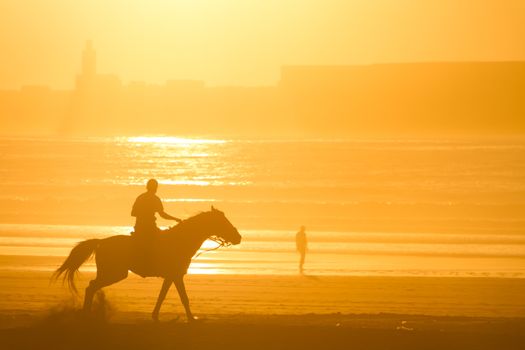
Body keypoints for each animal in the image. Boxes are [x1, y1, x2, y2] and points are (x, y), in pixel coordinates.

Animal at [53, 205, 242, 322]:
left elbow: (162, 296)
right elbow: (184, 298)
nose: (238, 237)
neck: (181, 240)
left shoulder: (171, 276)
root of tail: (101, 242)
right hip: (114, 273)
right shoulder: (176, 275)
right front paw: (192, 318)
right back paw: (87, 314)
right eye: (223, 222)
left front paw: (155, 315)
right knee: (91, 286)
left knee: (92, 287)